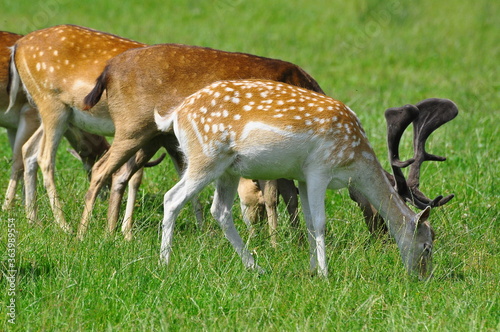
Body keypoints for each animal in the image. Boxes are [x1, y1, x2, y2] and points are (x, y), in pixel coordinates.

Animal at [153, 79, 454, 278]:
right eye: (427, 246)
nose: (424, 277)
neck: (353, 160)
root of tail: (174, 115)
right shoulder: (319, 169)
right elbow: (320, 222)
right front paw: (325, 273)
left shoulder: (302, 178)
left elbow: (308, 221)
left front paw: (311, 269)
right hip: (206, 158)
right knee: (172, 198)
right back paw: (165, 263)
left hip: (228, 170)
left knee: (220, 210)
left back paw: (257, 267)